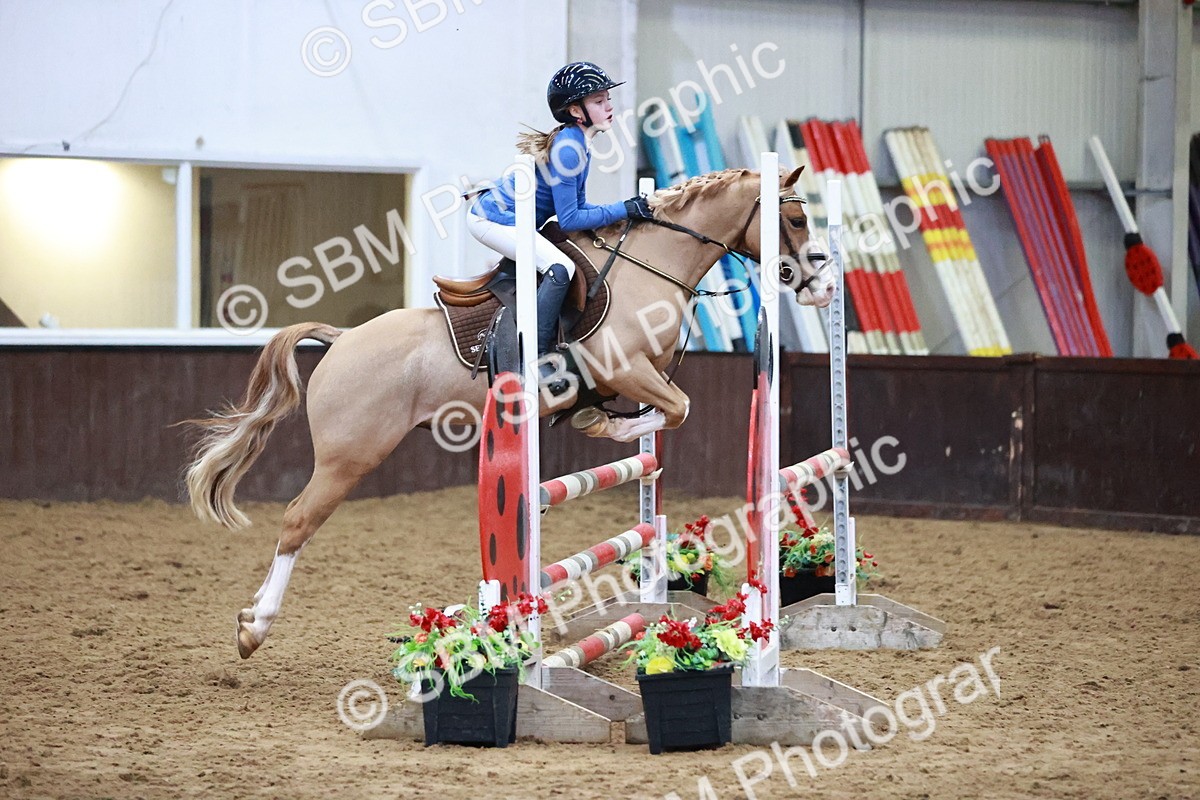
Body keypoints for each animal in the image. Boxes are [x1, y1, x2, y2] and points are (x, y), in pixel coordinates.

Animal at [184, 166, 835, 658]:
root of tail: (341, 341)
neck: (654, 264)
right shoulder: (623, 366)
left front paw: (595, 425)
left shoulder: (641, 373)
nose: (823, 287)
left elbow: (666, 413)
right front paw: (606, 425)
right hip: (350, 457)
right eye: (796, 219)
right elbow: (676, 410)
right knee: (297, 521)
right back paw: (254, 627)